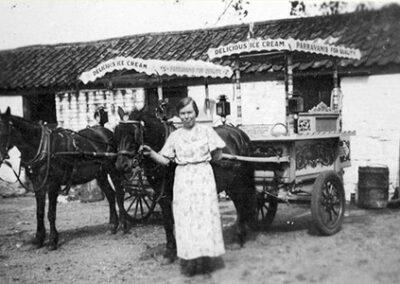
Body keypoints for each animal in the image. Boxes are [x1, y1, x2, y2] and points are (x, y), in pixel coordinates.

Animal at [0, 107, 126, 250]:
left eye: (3, 132)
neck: (42, 147)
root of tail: (105, 130)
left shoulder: (53, 184)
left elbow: (51, 213)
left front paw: (52, 241)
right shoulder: (38, 184)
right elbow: (39, 212)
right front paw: (38, 239)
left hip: (113, 169)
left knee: (119, 194)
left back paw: (123, 225)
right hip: (100, 174)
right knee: (110, 195)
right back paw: (113, 226)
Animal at [114, 107, 256, 262]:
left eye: (134, 133)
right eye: (117, 132)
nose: (121, 165)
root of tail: (238, 133)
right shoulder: (162, 195)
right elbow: (168, 222)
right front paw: (171, 251)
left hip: (239, 182)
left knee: (241, 205)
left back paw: (239, 238)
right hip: (230, 184)